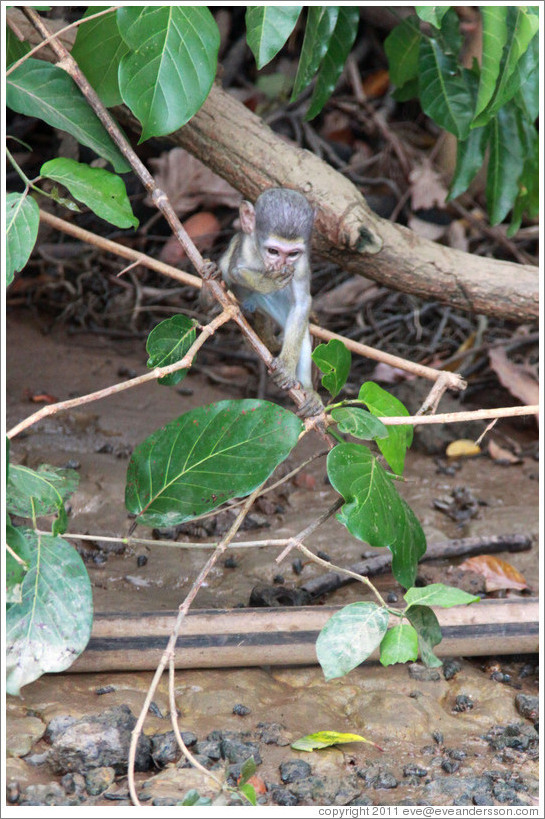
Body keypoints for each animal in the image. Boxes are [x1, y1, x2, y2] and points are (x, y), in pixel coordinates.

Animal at [219, 190, 324, 420]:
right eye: (274, 251)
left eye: (292, 253)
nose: (281, 265)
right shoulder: (246, 247)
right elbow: (235, 271)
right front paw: (268, 282)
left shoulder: (301, 264)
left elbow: (302, 303)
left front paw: (286, 366)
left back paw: (307, 389)